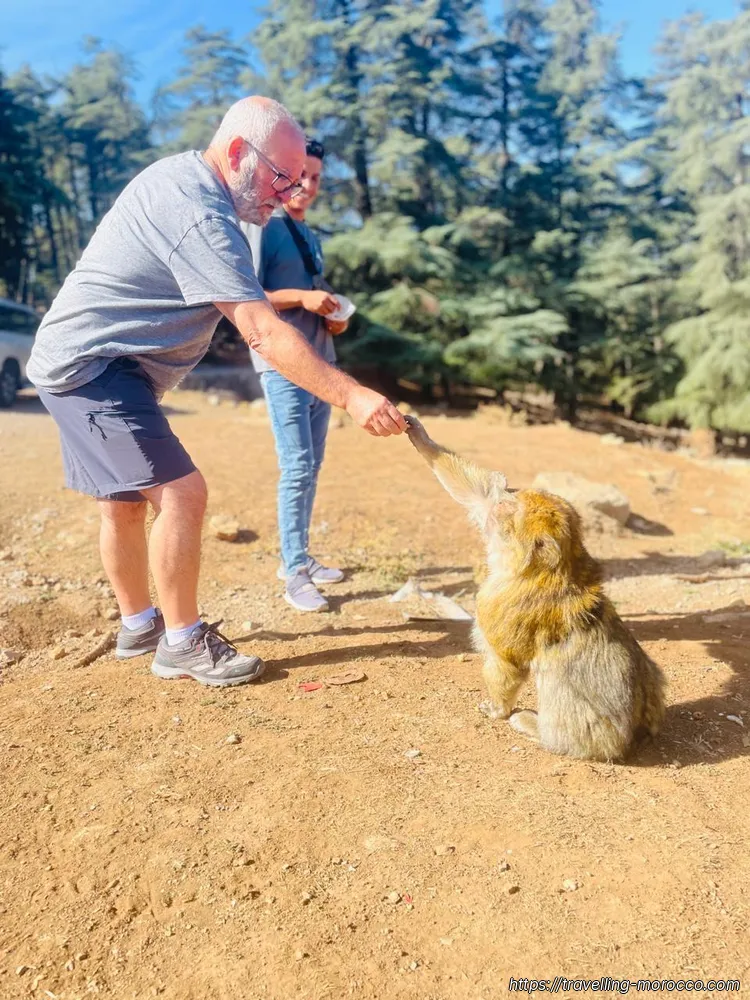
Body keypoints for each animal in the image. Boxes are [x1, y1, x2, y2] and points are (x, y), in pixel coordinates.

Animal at [403, 414, 665, 762]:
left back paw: (533, 726)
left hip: (590, 733)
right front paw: (417, 433)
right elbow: (475, 492)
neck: (535, 571)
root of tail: (631, 740)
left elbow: (508, 664)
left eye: (511, 506)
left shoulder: (495, 605)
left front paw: (498, 709)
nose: (503, 494)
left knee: (557, 679)